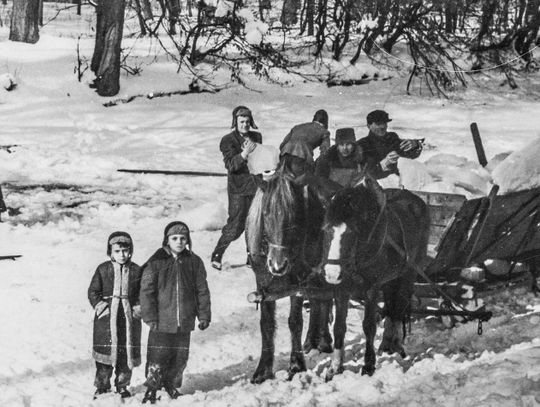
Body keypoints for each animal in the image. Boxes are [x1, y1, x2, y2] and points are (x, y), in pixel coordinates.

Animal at [246, 161, 330, 384]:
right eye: (266, 213)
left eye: (293, 217)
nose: (278, 265)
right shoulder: (263, 284)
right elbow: (266, 324)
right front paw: (263, 370)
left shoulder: (298, 283)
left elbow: (295, 322)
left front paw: (297, 365)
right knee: (317, 302)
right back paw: (311, 341)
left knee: (325, 302)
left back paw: (323, 341)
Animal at [320, 181, 430, 380]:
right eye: (326, 230)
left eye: (351, 232)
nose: (332, 273)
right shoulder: (342, 288)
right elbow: (339, 326)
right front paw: (335, 367)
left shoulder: (371, 287)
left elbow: (369, 326)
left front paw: (368, 365)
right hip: (390, 280)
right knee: (391, 306)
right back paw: (387, 343)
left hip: (409, 272)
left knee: (399, 306)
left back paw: (396, 345)